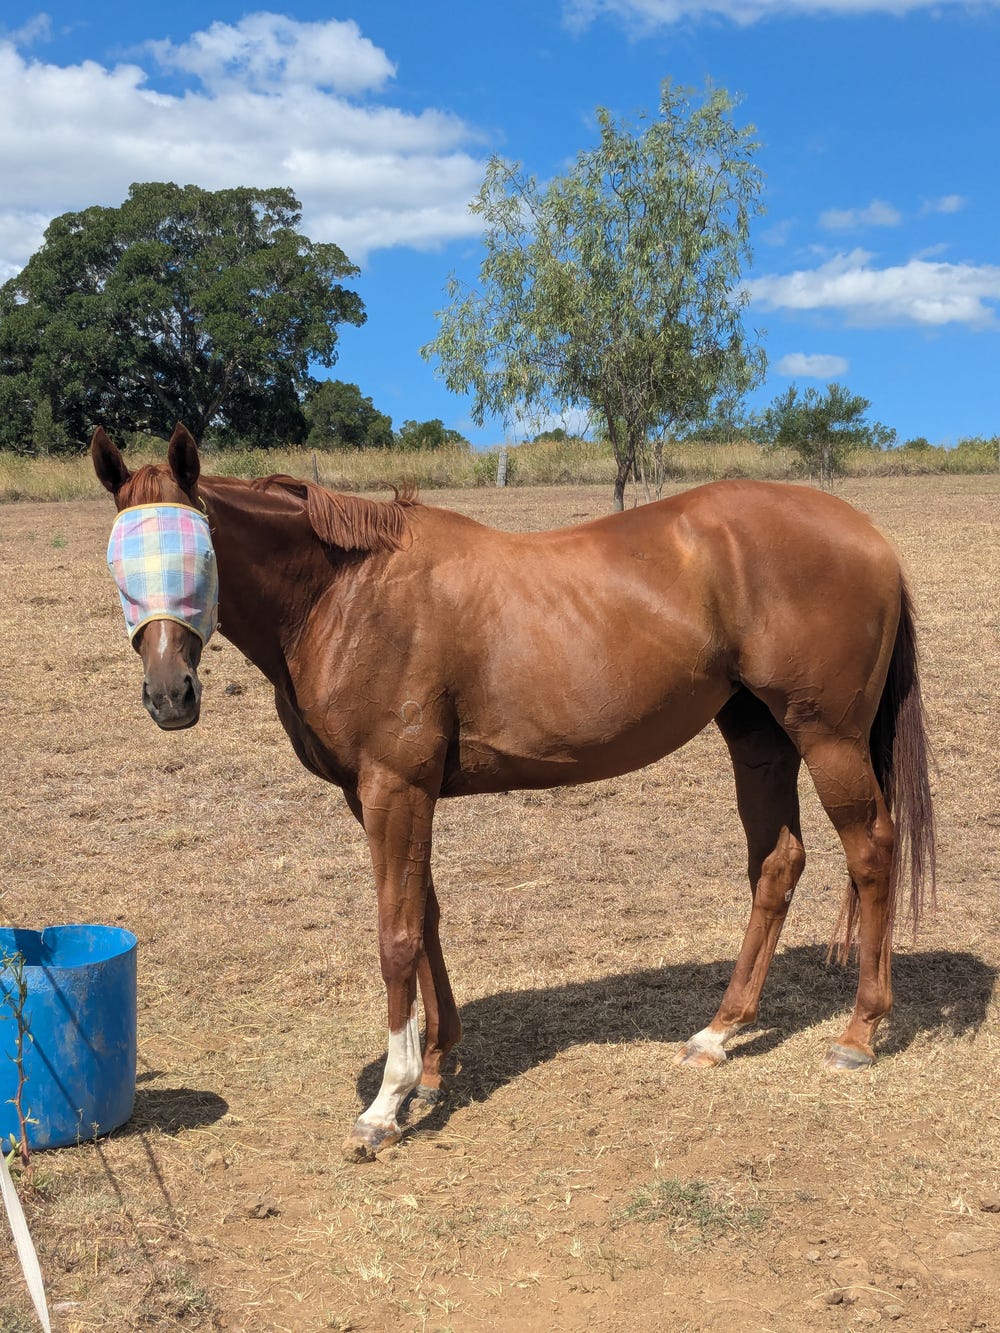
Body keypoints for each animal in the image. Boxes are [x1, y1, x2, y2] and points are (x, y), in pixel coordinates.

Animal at [91, 423, 935, 1161]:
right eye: (121, 563)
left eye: (199, 556)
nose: (169, 694)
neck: (347, 593)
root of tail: (869, 535)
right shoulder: (388, 795)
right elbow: (425, 915)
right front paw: (435, 1068)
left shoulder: (395, 787)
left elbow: (395, 933)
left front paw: (386, 1104)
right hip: (758, 737)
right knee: (777, 863)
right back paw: (718, 1031)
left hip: (828, 738)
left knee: (871, 852)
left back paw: (859, 1033)